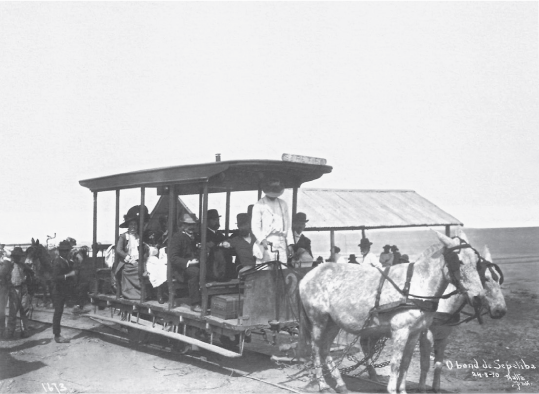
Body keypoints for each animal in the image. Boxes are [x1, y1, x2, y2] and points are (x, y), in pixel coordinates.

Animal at [298, 231, 488, 394]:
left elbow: (405, 363)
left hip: (332, 323)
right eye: (459, 261)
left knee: (325, 349)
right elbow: (395, 364)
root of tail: (308, 275)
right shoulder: (400, 331)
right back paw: (323, 385)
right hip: (318, 321)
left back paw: (341, 385)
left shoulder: (414, 333)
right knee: (316, 350)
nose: (479, 297)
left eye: (476, 262)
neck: (416, 285)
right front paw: (392, 389)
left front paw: (402, 390)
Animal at [418, 245, 506, 392]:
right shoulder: (426, 336)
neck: (442, 304)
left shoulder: (443, 337)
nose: (501, 310)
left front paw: (436, 388)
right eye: (485, 278)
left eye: (499, 279)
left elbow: (438, 364)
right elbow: (424, 365)